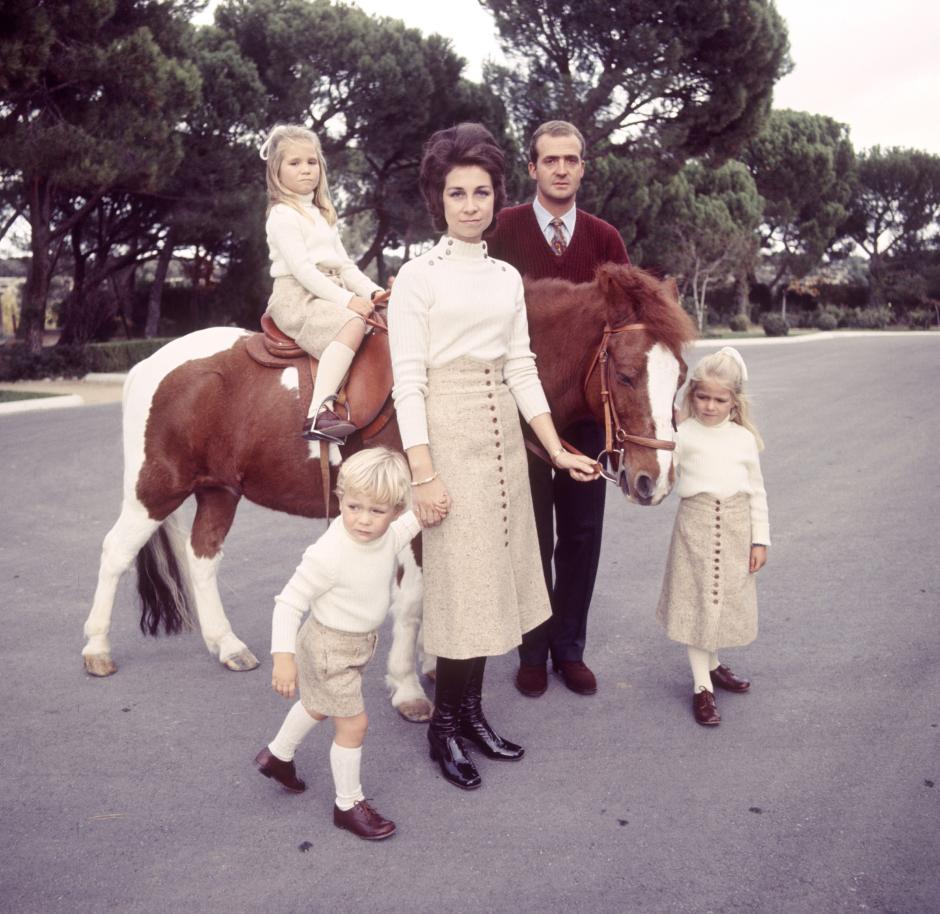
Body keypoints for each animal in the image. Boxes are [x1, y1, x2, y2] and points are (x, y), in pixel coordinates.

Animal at [82, 262, 696, 720]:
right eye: (624, 374)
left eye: (682, 376)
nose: (654, 479)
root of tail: (150, 364)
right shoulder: (419, 512)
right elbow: (414, 598)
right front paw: (407, 687)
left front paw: (428, 662)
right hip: (156, 487)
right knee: (114, 552)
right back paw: (96, 648)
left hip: (218, 490)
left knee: (202, 556)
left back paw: (227, 646)